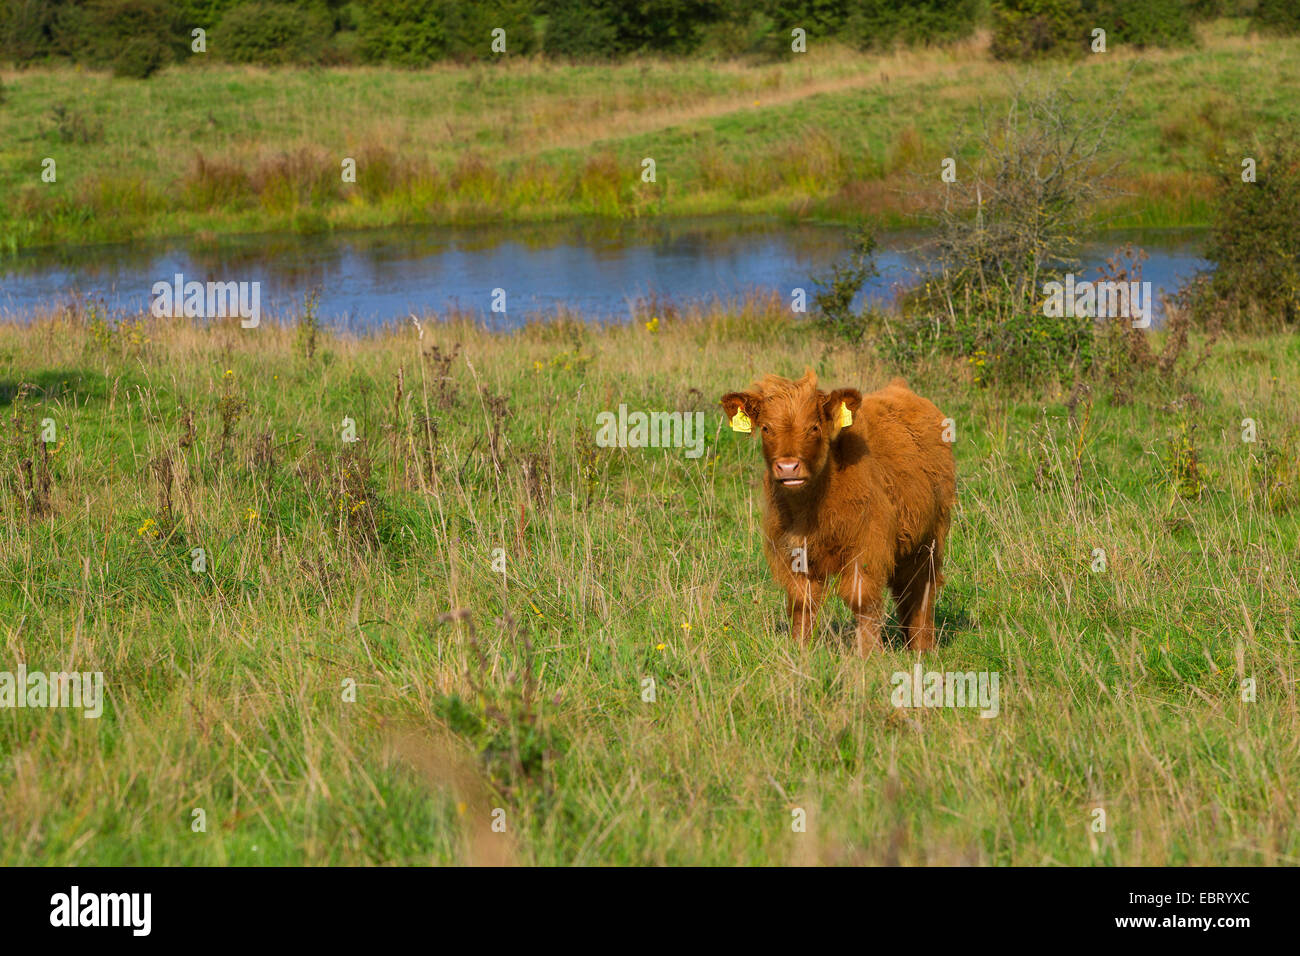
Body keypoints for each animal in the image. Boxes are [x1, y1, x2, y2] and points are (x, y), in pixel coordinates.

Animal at [722, 369, 956, 655]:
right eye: (766, 428)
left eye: (814, 427)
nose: (788, 467)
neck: (811, 508)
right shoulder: (791, 550)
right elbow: (802, 601)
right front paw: (800, 649)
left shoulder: (867, 543)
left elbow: (862, 597)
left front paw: (869, 654)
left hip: (931, 535)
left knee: (921, 586)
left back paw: (922, 646)